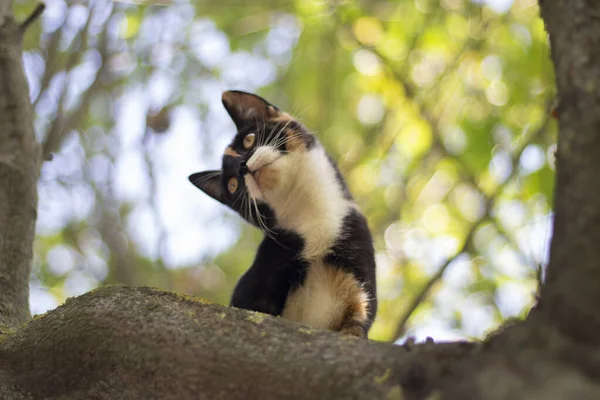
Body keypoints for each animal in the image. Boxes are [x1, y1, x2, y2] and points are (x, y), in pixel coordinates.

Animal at [190, 91, 378, 338]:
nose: (242, 167)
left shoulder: (356, 257)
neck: (310, 217)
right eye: (232, 185)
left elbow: (356, 323)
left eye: (248, 140)